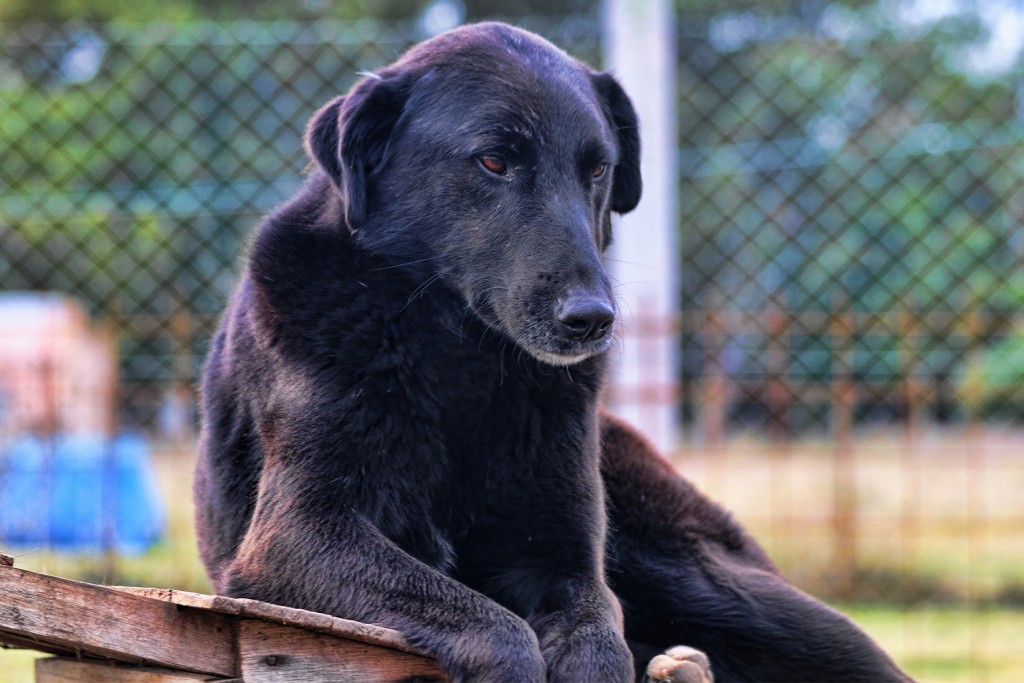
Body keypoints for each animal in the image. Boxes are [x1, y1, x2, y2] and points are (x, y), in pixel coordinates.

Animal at [195, 22, 917, 683]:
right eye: (494, 161)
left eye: (596, 168)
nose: (592, 320)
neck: (459, 360)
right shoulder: (295, 534)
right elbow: (500, 629)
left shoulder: (568, 560)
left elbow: (599, 643)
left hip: (704, 577)